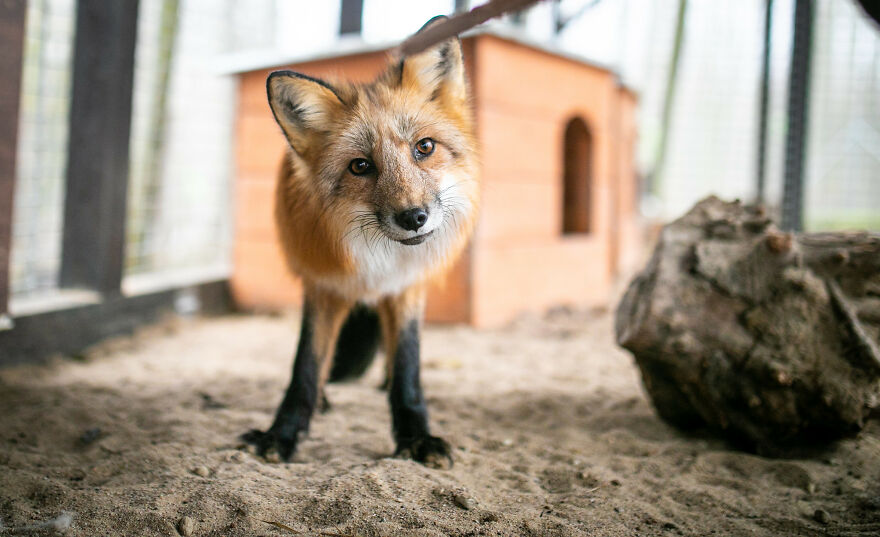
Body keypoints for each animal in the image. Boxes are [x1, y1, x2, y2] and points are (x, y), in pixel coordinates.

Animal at [241, 17, 479, 468]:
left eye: (424, 147)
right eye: (360, 166)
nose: (413, 217)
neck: (378, 260)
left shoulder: (406, 288)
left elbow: (408, 366)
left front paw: (416, 436)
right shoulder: (323, 285)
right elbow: (305, 367)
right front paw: (282, 434)